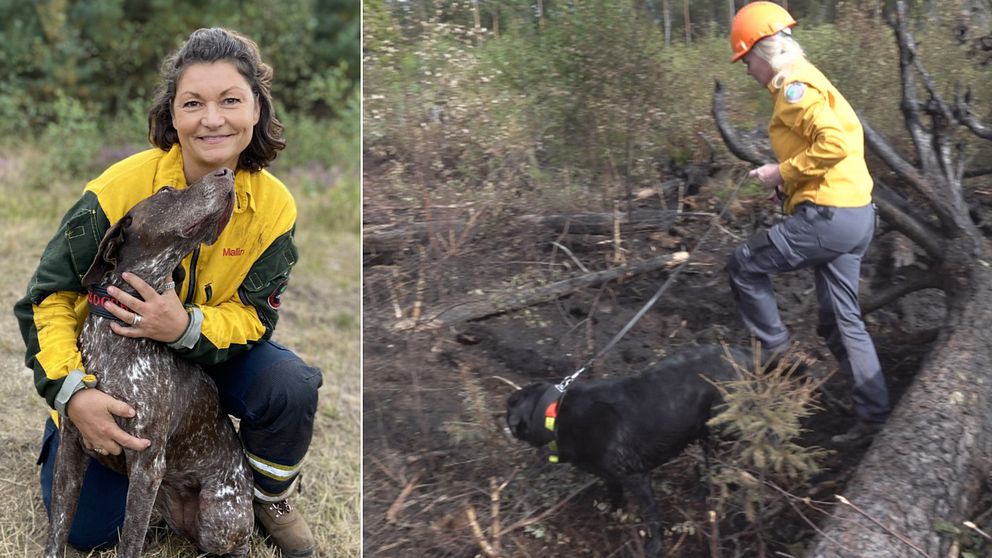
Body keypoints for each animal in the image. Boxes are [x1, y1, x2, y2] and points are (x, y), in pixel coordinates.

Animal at [44, 170, 254, 558]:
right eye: (167, 191)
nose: (226, 172)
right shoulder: (71, 448)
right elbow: (59, 527)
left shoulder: (146, 466)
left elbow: (130, 542)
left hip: (220, 516)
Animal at [508, 348, 748, 556]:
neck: (554, 415)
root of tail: (740, 354)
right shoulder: (610, 474)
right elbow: (615, 494)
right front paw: (614, 516)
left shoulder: (636, 476)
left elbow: (650, 514)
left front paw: (654, 546)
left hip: (717, 432)